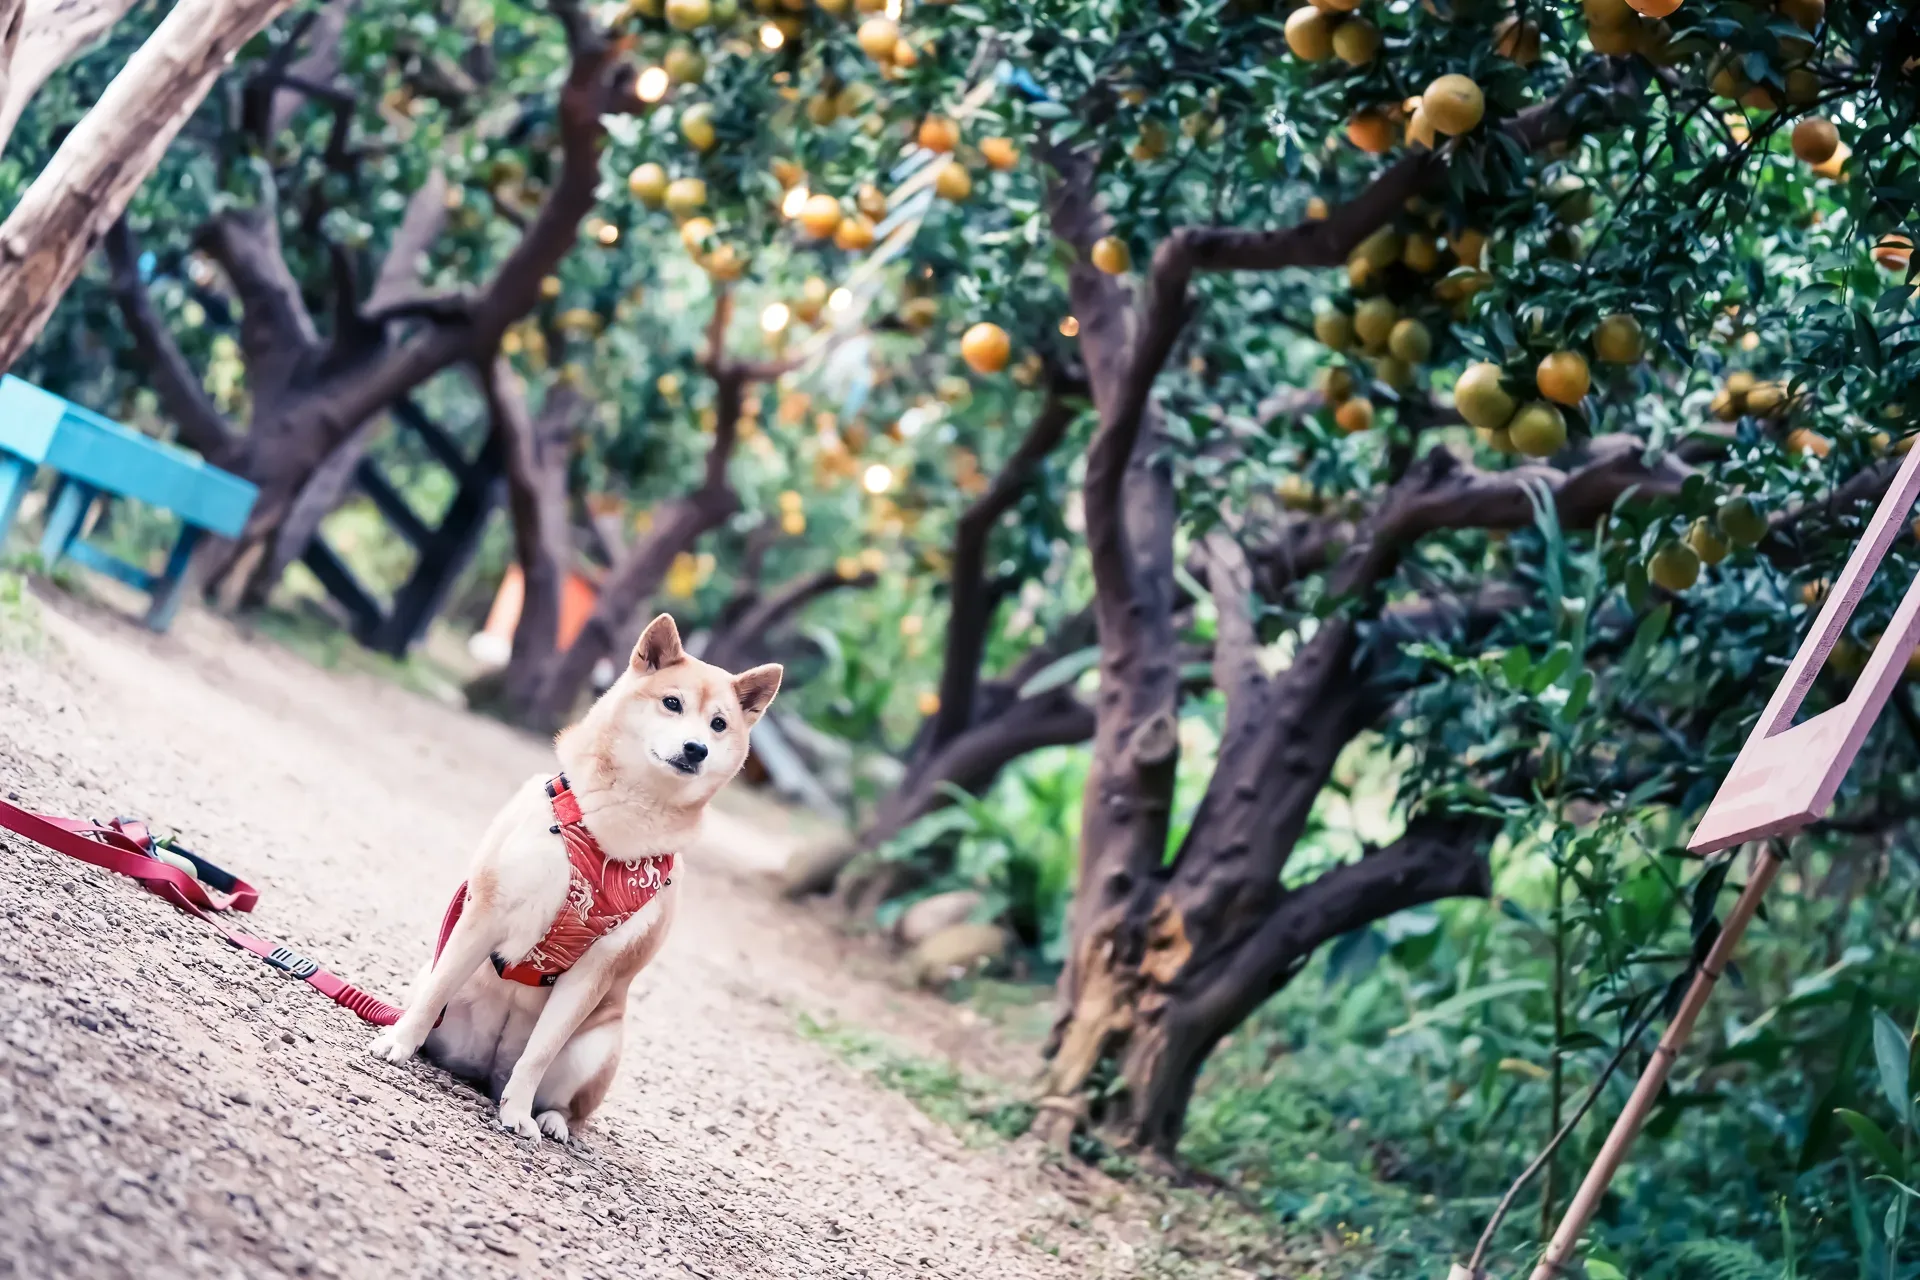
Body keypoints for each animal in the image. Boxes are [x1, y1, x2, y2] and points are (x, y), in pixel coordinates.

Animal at [370, 617, 775, 1143]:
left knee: (563, 1100)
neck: (618, 826)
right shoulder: (486, 912)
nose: (696, 748)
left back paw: (550, 1118)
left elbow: (540, 1054)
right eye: (672, 703)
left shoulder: (595, 970)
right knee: (434, 998)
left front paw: (519, 1114)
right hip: (438, 984)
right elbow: (434, 996)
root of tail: (485, 1071)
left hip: (598, 1044)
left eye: (719, 724)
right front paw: (399, 1043)